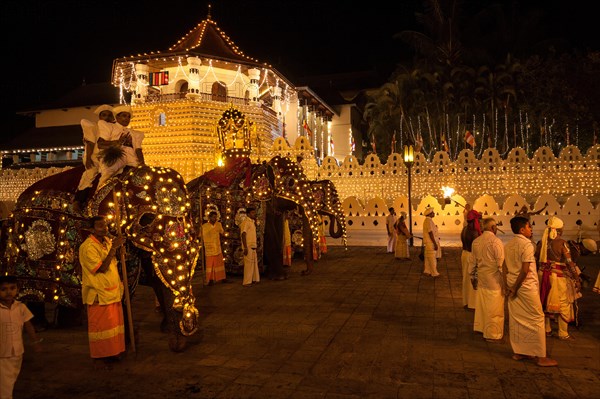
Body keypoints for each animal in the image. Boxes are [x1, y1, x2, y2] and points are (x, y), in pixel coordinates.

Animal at [1, 164, 199, 352]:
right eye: (147, 218)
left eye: (187, 217)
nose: (188, 321)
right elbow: (121, 280)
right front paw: (128, 341)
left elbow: (155, 276)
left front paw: (167, 330)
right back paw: (40, 325)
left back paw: (68, 322)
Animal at [188, 155, 346, 276]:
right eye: (291, 182)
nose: (304, 272)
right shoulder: (261, 202)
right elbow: (270, 234)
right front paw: (280, 276)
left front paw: (273, 271)